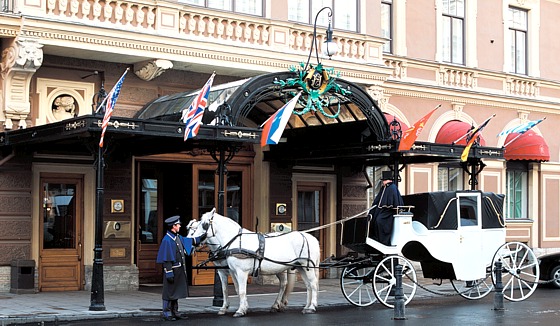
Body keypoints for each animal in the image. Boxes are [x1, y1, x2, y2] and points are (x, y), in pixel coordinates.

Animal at [190, 208, 320, 318]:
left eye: (204, 224)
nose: (193, 242)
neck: (235, 241)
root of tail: (311, 238)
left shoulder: (241, 272)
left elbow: (242, 291)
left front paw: (240, 310)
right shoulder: (232, 271)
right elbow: (233, 289)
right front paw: (240, 307)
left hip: (307, 266)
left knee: (313, 284)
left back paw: (311, 307)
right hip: (300, 267)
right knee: (306, 286)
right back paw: (305, 306)